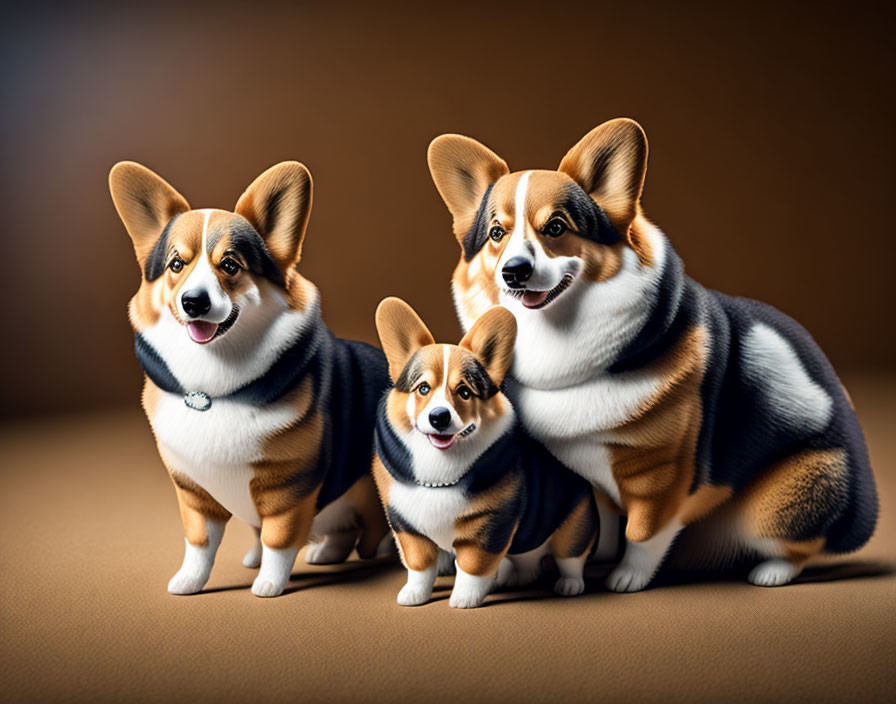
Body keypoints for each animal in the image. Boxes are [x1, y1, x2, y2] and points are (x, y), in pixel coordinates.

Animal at [108, 162, 388, 596]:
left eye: (230, 265)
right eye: (176, 265)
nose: (194, 302)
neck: (212, 390)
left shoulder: (289, 485)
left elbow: (277, 538)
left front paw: (269, 583)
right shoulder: (192, 489)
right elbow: (200, 542)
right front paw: (190, 581)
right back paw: (325, 553)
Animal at [372, 296, 596, 604]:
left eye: (465, 392)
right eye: (423, 388)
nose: (439, 417)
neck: (439, 472)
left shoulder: (490, 526)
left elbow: (472, 567)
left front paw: (464, 600)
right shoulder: (407, 528)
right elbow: (420, 566)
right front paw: (413, 595)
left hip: (573, 526)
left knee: (571, 558)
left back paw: (569, 585)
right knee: (526, 559)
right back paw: (513, 579)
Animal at [428, 118, 876, 592]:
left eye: (556, 227)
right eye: (497, 233)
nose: (515, 271)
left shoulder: (660, 476)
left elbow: (643, 533)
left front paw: (627, 577)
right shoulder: (590, 480)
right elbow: (601, 521)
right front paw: (586, 559)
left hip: (779, 500)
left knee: (799, 542)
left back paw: (771, 571)